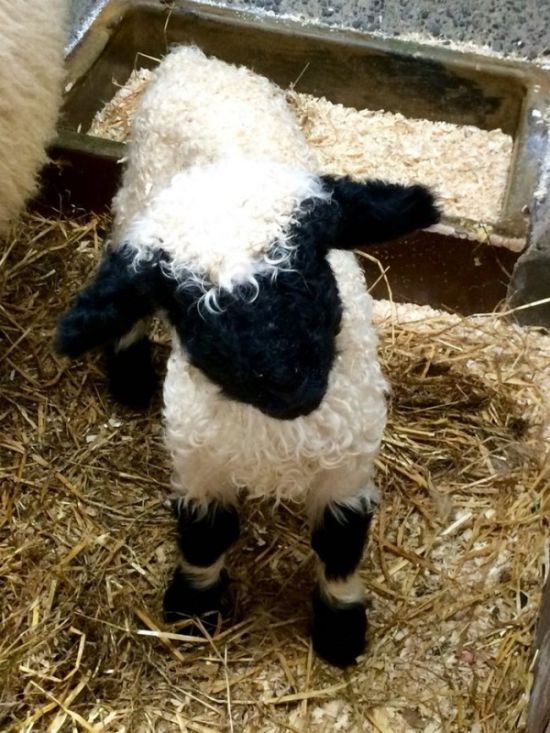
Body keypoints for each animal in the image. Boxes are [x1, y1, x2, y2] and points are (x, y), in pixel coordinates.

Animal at [58, 44, 442, 664]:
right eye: (191, 307)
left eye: (310, 267)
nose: (289, 384)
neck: (274, 435)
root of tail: (189, 56)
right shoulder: (199, 459)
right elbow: (205, 535)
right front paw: (193, 608)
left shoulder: (349, 463)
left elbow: (340, 544)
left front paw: (340, 630)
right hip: (134, 200)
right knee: (120, 286)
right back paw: (130, 377)